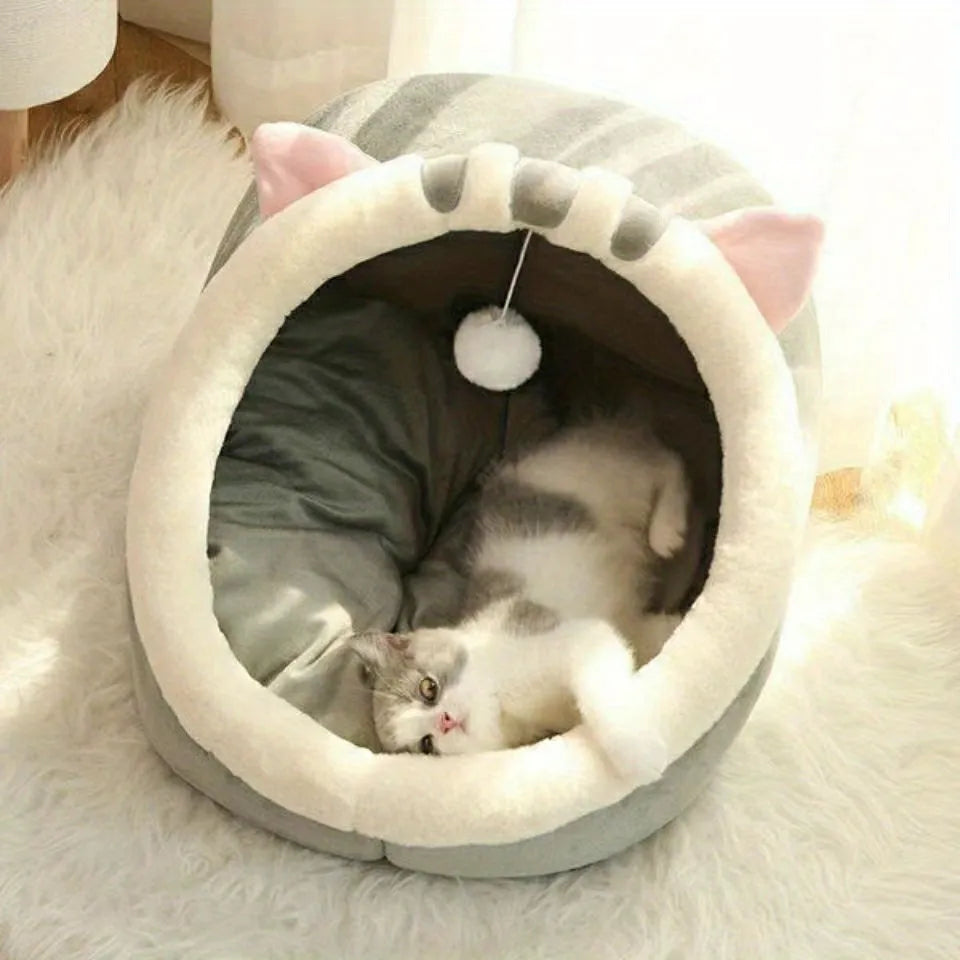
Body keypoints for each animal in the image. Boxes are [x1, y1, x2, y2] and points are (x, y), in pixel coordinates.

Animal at [344, 416, 688, 776]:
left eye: (428, 689)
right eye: (426, 745)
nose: (445, 721)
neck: (502, 702)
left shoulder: (578, 638)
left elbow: (601, 694)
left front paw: (640, 756)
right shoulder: (613, 632)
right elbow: (639, 638)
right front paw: (671, 626)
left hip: (612, 477)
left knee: (666, 458)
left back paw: (667, 530)